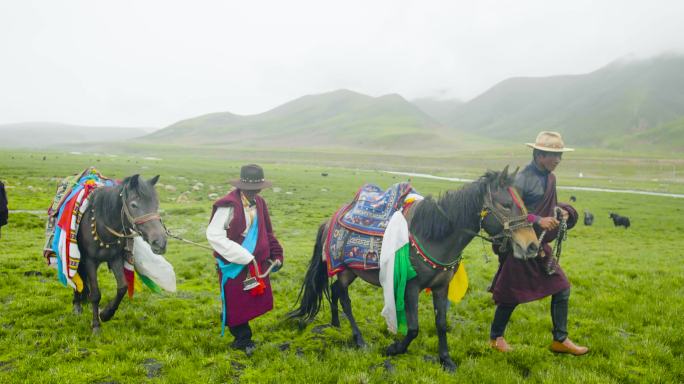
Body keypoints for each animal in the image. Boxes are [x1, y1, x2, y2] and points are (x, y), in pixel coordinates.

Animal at [74, 175, 167, 332]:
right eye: (134, 205)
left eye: (156, 204)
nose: (160, 242)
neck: (103, 225)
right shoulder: (90, 260)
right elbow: (96, 294)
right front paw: (96, 325)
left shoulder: (115, 258)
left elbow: (122, 287)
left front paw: (106, 314)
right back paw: (77, 304)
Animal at [288, 168, 540, 372]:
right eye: (506, 204)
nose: (532, 246)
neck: (434, 235)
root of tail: (329, 220)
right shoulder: (411, 287)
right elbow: (413, 328)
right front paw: (394, 348)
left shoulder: (441, 287)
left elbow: (441, 324)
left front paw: (446, 360)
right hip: (345, 269)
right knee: (343, 297)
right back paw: (358, 339)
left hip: (349, 273)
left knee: (334, 291)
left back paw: (336, 325)